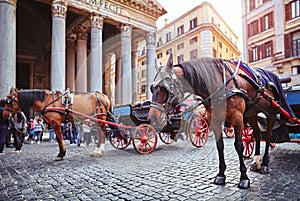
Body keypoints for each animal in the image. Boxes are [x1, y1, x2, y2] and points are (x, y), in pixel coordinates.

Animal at [149, 53, 292, 188]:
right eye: (152, 88)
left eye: (164, 87)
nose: (153, 118)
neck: (218, 83)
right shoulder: (215, 120)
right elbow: (220, 146)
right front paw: (221, 175)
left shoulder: (238, 118)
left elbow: (239, 146)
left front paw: (244, 177)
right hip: (252, 113)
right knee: (257, 135)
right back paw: (256, 162)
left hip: (271, 113)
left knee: (267, 136)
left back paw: (265, 164)